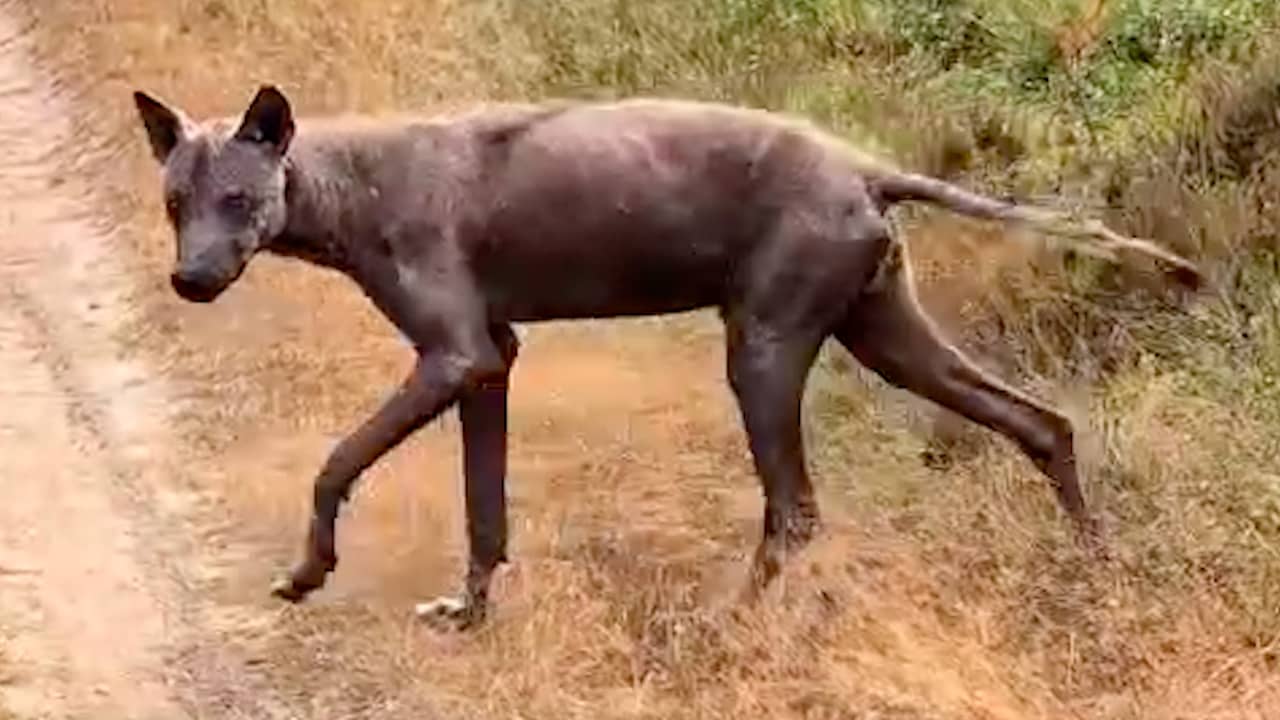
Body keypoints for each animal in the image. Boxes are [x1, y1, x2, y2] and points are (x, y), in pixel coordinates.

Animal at [132, 85, 1202, 629]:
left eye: (240, 200)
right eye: (176, 202)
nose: (189, 280)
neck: (346, 182)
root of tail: (864, 167)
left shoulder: (450, 357)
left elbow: (334, 463)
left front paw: (307, 572)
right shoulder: (489, 363)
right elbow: (486, 513)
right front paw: (469, 612)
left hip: (762, 351)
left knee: (796, 512)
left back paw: (721, 623)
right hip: (886, 336)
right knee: (1043, 423)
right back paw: (1099, 570)